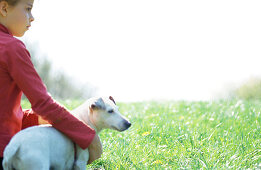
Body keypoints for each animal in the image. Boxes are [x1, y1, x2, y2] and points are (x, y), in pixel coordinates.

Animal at [2, 96, 130, 169]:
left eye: (117, 109)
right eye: (110, 111)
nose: (129, 123)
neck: (84, 120)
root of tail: (15, 145)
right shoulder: (80, 163)